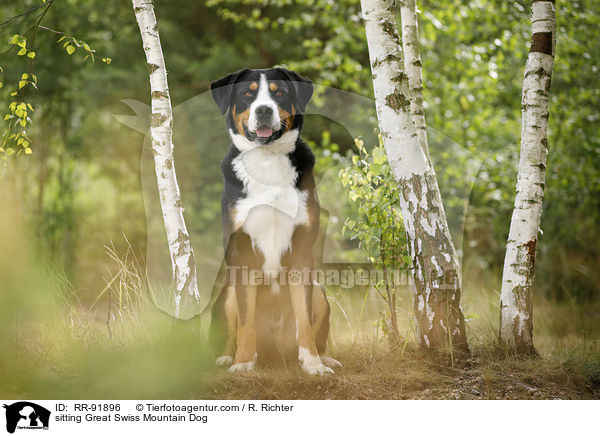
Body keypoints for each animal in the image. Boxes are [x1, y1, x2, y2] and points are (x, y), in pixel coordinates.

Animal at [210, 67, 342, 374]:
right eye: (247, 93)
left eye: (278, 92)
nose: (263, 110)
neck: (267, 161)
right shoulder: (241, 250)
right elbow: (245, 321)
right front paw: (243, 363)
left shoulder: (302, 250)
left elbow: (304, 320)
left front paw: (313, 364)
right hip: (228, 292)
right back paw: (226, 357)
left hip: (320, 293)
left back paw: (325, 356)